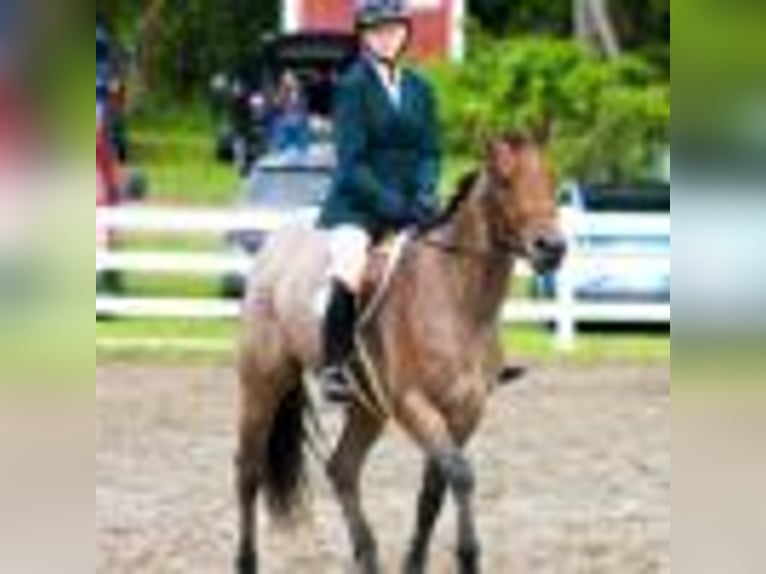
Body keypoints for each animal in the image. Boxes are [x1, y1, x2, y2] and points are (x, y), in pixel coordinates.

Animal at [235, 133, 566, 574]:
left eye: (553, 178)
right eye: (503, 183)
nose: (553, 248)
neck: (458, 300)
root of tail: (276, 241)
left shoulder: (466, 410)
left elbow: (434, 489)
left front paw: (415, 562)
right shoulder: (413, 403)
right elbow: (461, 474)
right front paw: (468, 556)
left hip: (367, 406)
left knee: (342, 468)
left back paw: (368, 557)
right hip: (263, 381)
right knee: (249, 471)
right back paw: (246, 560)